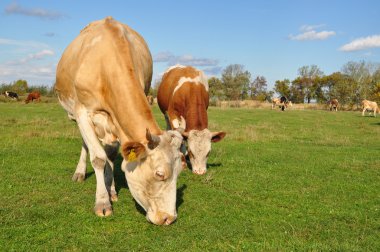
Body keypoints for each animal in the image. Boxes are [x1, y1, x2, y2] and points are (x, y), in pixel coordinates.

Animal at [55, 17, 185, 226]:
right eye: (159, 174)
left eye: (180, 171)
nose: (169, 218)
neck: (104, 64)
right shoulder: (82, 112)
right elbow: (98, 158)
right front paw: (102, 202)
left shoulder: (117, 121)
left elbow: (111, 155)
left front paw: (111, 190)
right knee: (85, 144)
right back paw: (80, 172)